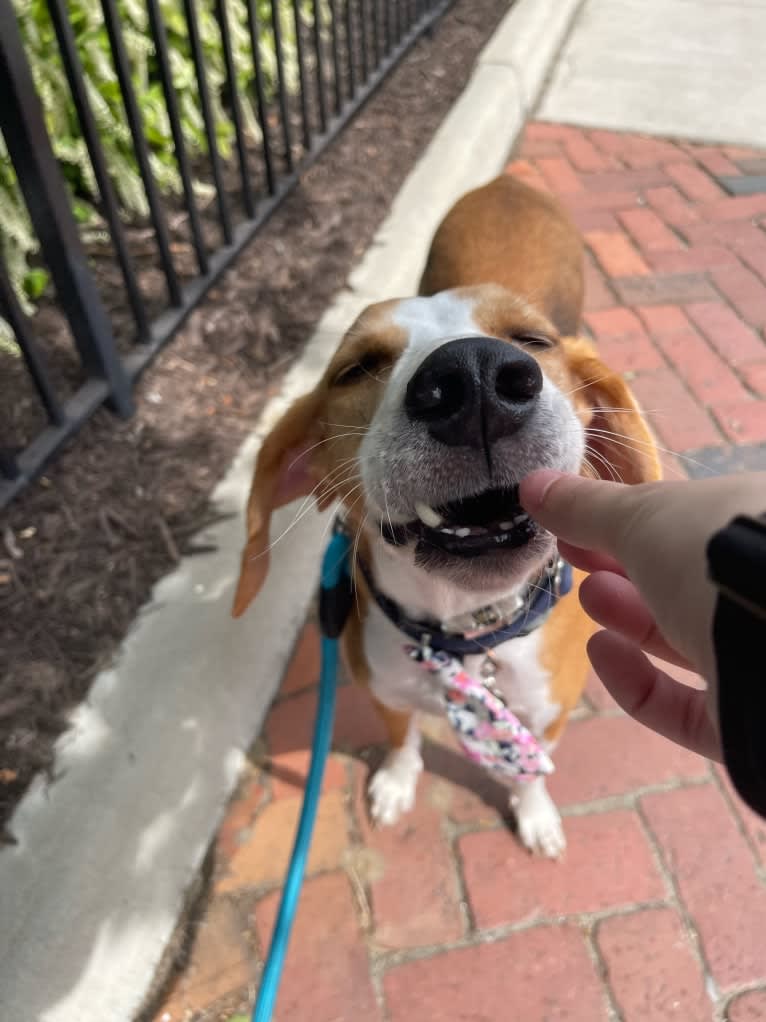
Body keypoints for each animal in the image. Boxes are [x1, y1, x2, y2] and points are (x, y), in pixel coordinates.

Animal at [230, 173, 661, 854]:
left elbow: (532, 769)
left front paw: (534, 813)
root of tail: (506, 181)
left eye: (534, 340)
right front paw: (397, 782)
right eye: (356, 368)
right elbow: (404, 740)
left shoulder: (550, 713)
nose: (474, 377)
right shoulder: (383, 690)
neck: (465, 631)